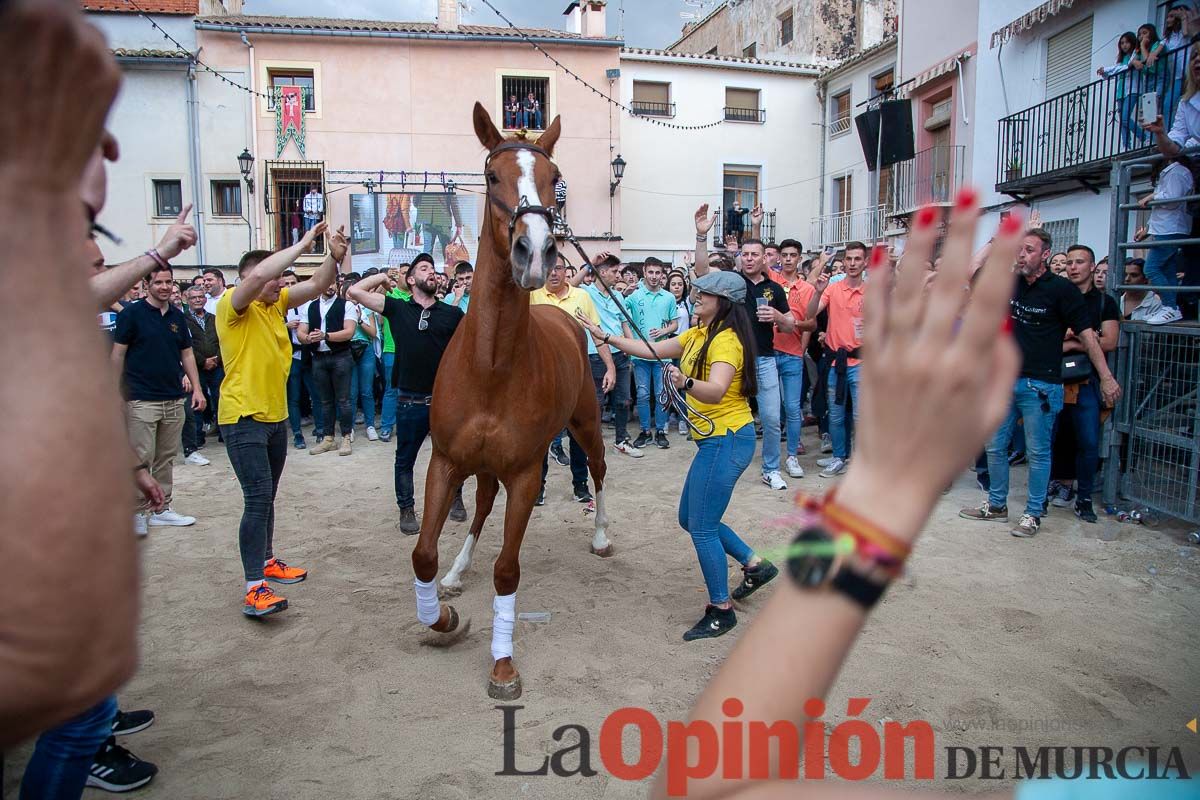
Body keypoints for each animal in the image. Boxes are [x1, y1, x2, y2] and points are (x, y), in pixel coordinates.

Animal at [412, 104, 614, 700]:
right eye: (490, 176)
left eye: (555, 179)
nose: (536, 251)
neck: (492, 367)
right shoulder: (446, 461)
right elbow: (423, 553)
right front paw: (442, 617)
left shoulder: (524, 472)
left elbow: (508, 570)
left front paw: (502, 664)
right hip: (481, 466)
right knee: (479, 508)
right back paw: (458, 572)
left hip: (585, 425)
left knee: (598, 471)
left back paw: (600, 537)